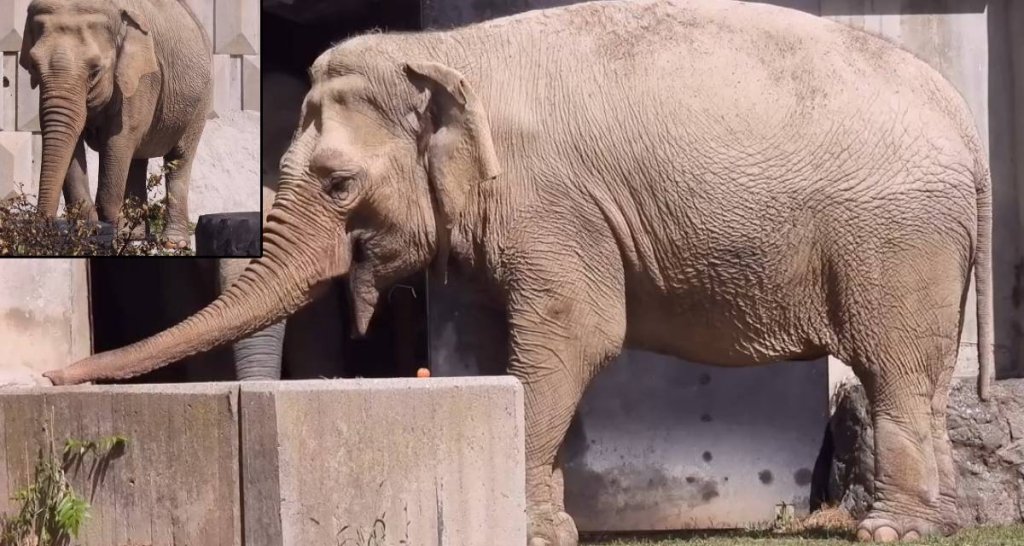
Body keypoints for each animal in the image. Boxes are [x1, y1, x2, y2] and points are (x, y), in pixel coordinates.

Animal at [20, 0, 212, 246]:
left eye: (95, 72)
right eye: (34, 66)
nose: (39, 231)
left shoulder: (141, 80)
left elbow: (118, 141)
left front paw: (106, 236)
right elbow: (74, 144)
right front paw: (89, 233)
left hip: (201, 101)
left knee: (179, 159)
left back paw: (172, 242)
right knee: (137, 160)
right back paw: (135, 237)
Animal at [41, 2, 991, 540]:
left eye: (339, 183)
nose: (49, 379)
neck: (441, 51)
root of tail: (963, 116)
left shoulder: (552, 202)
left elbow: (573, 340)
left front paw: (533, 530)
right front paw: (539, 522)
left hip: (896, 240)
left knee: (894, 369)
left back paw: (891, 533)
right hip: (926, 247)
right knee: (926, 376)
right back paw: (941, 525)